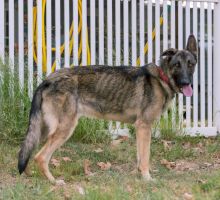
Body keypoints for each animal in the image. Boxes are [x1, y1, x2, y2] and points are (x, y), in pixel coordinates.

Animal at [17, 34, 198, 184]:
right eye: (177, 65)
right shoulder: (144, 126)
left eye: (190, 64)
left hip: (44, 130)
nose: (187, 82)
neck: (161, 78)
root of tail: (48, 79)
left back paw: (30, 175)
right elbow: (145, 157)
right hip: (64, 129)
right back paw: (54, 182)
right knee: (40, 157)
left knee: (28, 151)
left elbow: (140, 157)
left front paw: (138, 175)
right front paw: (147, 178)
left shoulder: (140, 129)